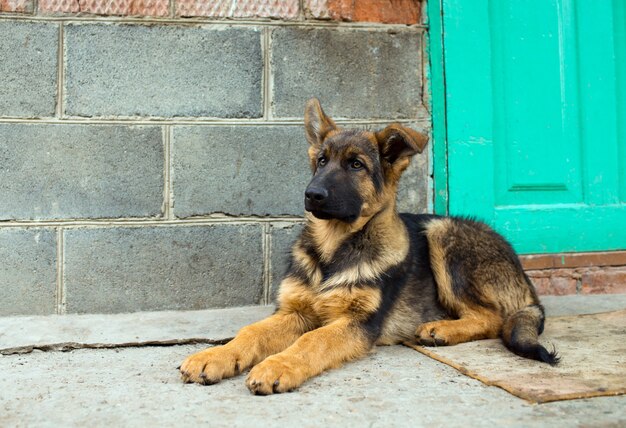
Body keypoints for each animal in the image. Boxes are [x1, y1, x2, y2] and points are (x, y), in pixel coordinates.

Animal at [179, 98, 556, 396]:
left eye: (356, 165)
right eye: (321, 161)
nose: (311, 194)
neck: (334, 248)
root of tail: (522, 274)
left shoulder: (358, 323)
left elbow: (312, 340)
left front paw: (278, 366)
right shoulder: (294, 312)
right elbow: (251, 331)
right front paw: (215, 356)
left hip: (443, 233)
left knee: (494, 317)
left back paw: (441, 329)